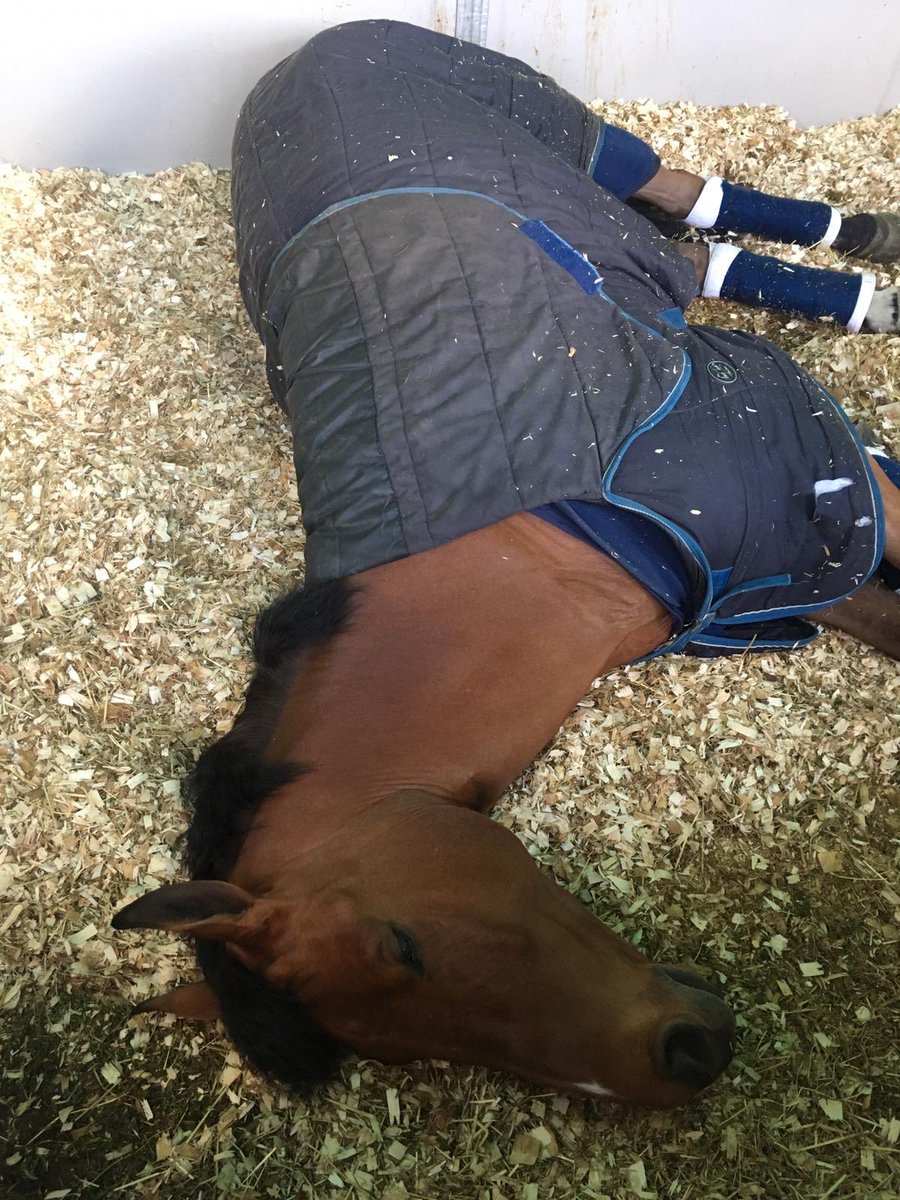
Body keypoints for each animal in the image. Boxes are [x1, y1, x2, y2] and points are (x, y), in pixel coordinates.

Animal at [113, 20, 900, 1109]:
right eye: (404, 1051)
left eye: (404, 943)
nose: (686, 1057)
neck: (511, 556)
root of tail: (320, 42)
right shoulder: (784, 567)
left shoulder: (814, 477)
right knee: (684, 244)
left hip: (559, 126)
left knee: (676, 189)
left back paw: (864, 266)